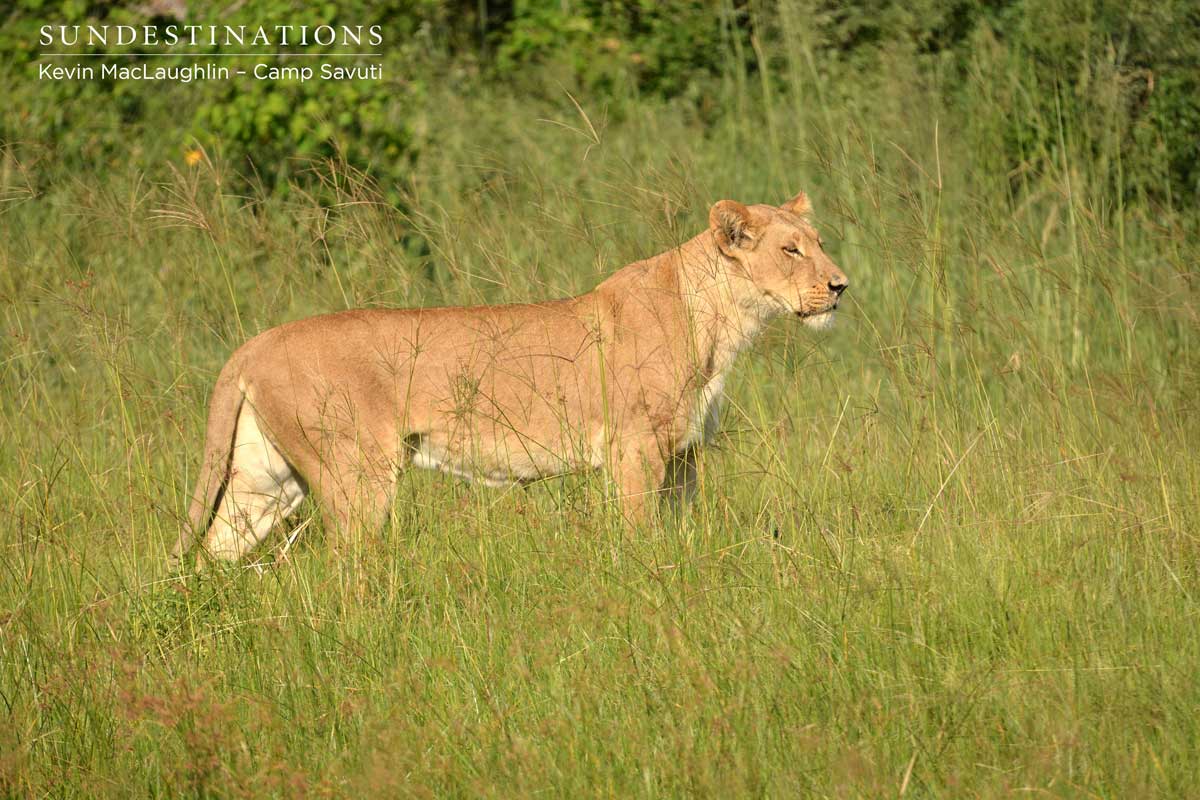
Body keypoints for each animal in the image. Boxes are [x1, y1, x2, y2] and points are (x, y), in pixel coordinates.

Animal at [170, 192, 849, 565]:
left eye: (818, 241)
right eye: (790, 250)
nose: (841, 286)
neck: (725, 322)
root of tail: (254, 344)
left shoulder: (681, 456)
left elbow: (679, 529)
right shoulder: (634, 448)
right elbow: (639, 534)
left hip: (266, 479)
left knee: (213, 549)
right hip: (355, 473)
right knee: (344, 563)